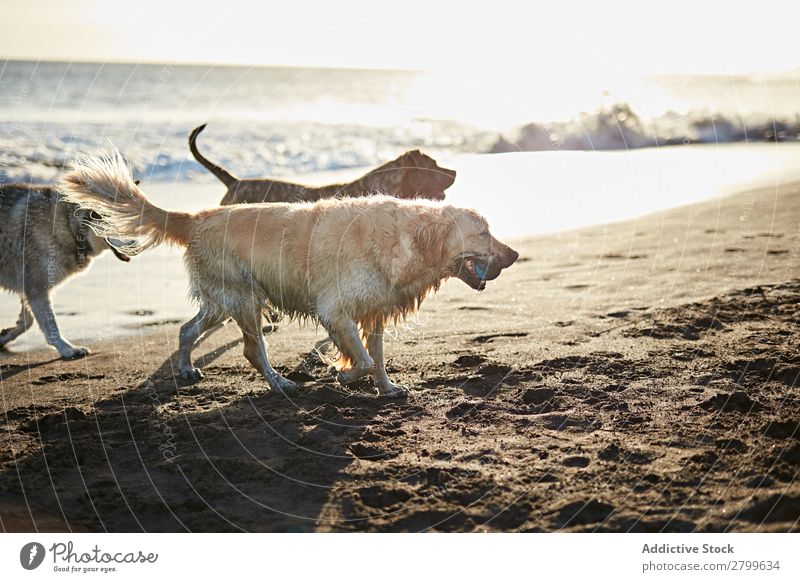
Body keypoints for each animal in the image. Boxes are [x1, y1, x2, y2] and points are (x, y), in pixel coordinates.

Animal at [59, 152, 516, 396]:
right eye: (483, 232)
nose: (512, 255)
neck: (406, 239)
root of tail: (198, 217)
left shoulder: (376, 310)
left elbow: (378, 356)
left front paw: (386, 389)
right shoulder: (335, 310)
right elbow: (365, 358)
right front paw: (344, 373)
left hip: (222, 301)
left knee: (187, 330)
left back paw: (188, 370)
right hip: (244, 298)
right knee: (250, 350)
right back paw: (279, 383)